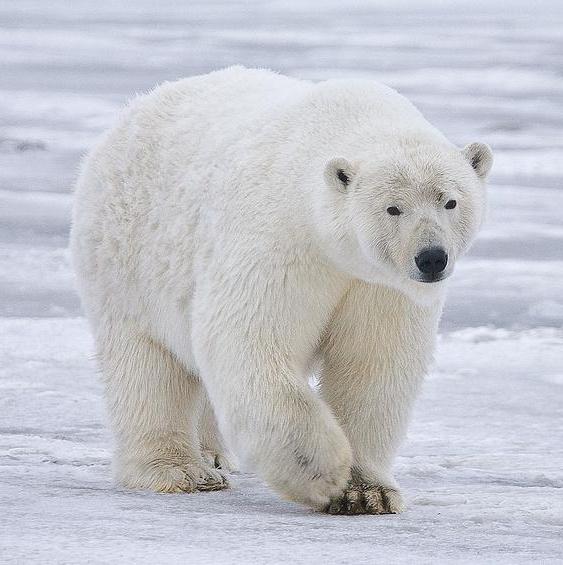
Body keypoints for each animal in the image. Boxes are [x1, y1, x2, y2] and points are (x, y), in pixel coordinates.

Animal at [71, 65, 494, 512]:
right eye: (393, 208)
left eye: (450, 201)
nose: (431, 258)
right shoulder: (282, 240)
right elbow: (250, 339)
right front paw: (323, 472)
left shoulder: (379, 285)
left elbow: (372, 364)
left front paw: (367, 492)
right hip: (126, 260)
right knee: (147, 366)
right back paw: (181, 471)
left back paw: (213, 454)